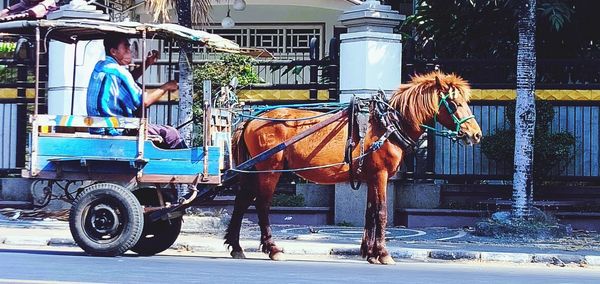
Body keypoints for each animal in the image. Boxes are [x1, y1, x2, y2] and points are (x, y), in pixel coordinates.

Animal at [224, 70, 482, 264]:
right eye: (453, 103)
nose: (476, 135)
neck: (388, 124)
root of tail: (252, 120)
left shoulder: (371, 177)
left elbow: (370, 212)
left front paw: (369, 252)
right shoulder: (381, 174)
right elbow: (381, 212)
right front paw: (383, 253)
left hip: (254, 169)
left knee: (242, 201)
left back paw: (236, 246)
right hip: (270, 169)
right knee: (262, 205)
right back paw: (272, 248)